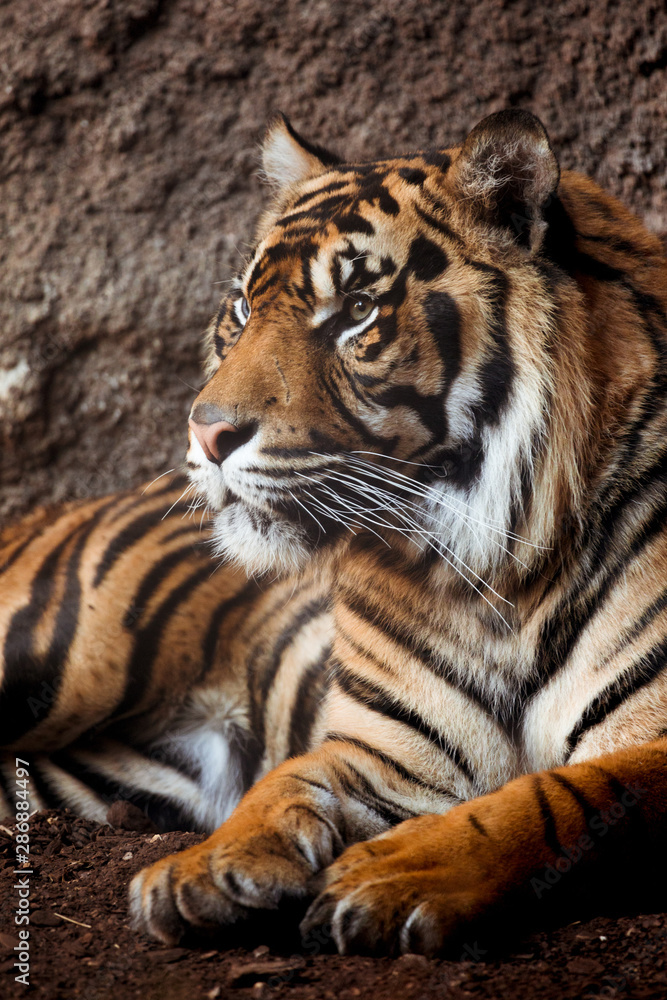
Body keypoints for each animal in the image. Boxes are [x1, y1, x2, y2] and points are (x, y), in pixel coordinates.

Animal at [1, 108, 666, 958]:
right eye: (242, 309)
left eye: (356, 311)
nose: (206, 432)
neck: (492, 576)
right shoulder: (382, 750)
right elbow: (282, 782)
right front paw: (201, 867)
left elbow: (555, 795)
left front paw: (399, 871)